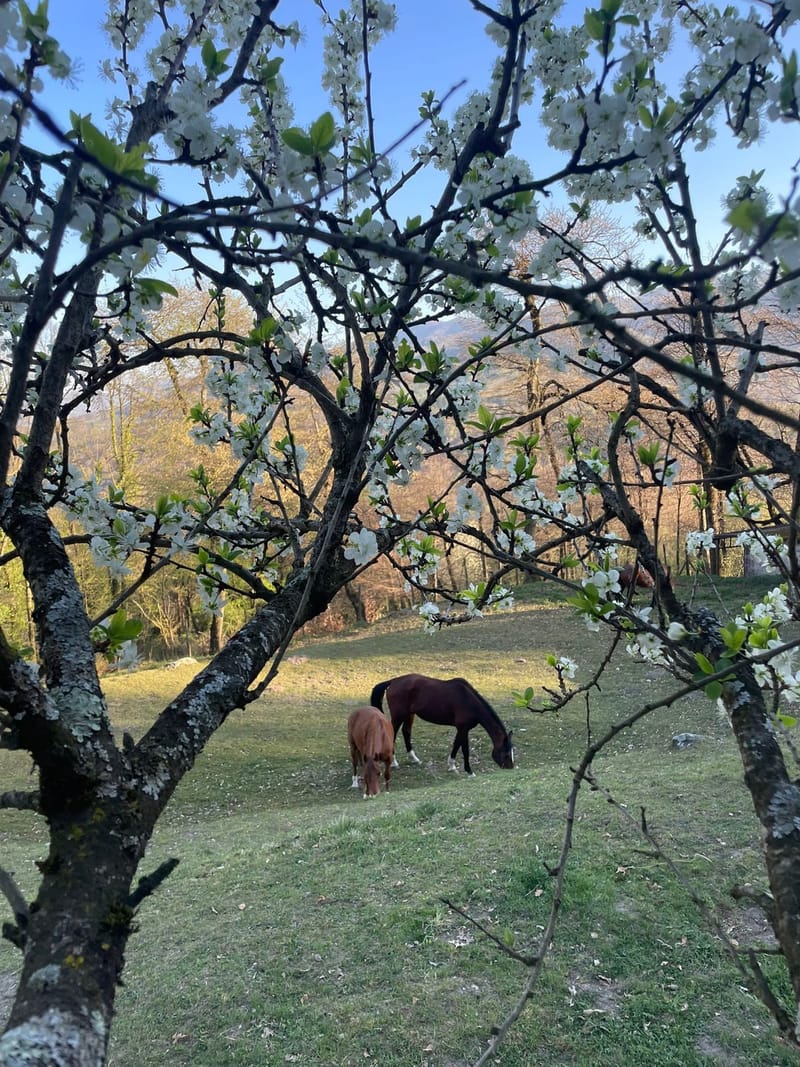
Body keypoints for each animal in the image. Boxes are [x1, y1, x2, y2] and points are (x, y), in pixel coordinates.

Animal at [369, 674, 514, 776]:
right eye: (506, 754)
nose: (511, 768)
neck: (469, 701)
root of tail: (393, 681)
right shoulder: (463, 728)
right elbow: (464, 749)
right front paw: (469, 772)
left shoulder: (463, 729)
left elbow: (457, 745)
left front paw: (452, 766)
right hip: (398, 716)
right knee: (393, 734)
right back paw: (394, 762)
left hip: (409, 714)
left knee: (406, 732)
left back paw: (414, 759)